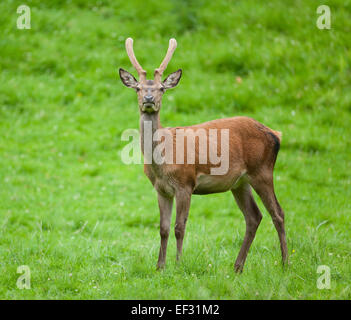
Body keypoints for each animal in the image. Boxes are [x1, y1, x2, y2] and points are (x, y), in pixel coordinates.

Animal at [119, 37, 288, 272]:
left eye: (162, 88)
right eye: (138, 88)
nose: (149, 99)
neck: (161, 162)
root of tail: (276, 134)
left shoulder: (185, 183)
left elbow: (179, 227)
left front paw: (179, 264)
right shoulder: (161, 189)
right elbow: (163, 228)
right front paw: (160, 267)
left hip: (262, 170)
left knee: (278, 213)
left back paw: (285, 263)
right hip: (240, 182)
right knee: (254, 216)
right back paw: (237, 267)